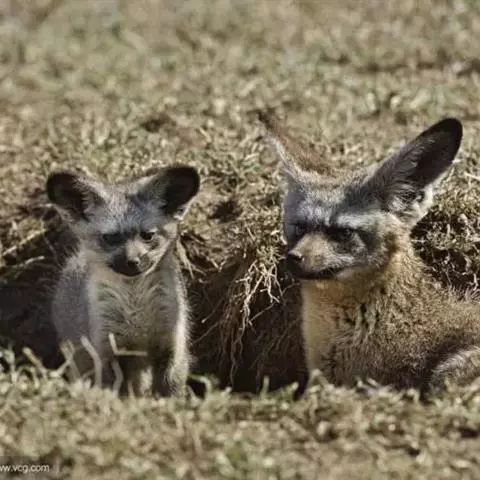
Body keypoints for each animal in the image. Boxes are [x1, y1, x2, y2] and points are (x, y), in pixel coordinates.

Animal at [46, 165, 199, 396]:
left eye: (147, 235)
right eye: (110, 237)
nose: (132, 262)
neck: (136, 316)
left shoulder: (172, 346)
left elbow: (170, 389)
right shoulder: (105, 351)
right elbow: (113, 393)